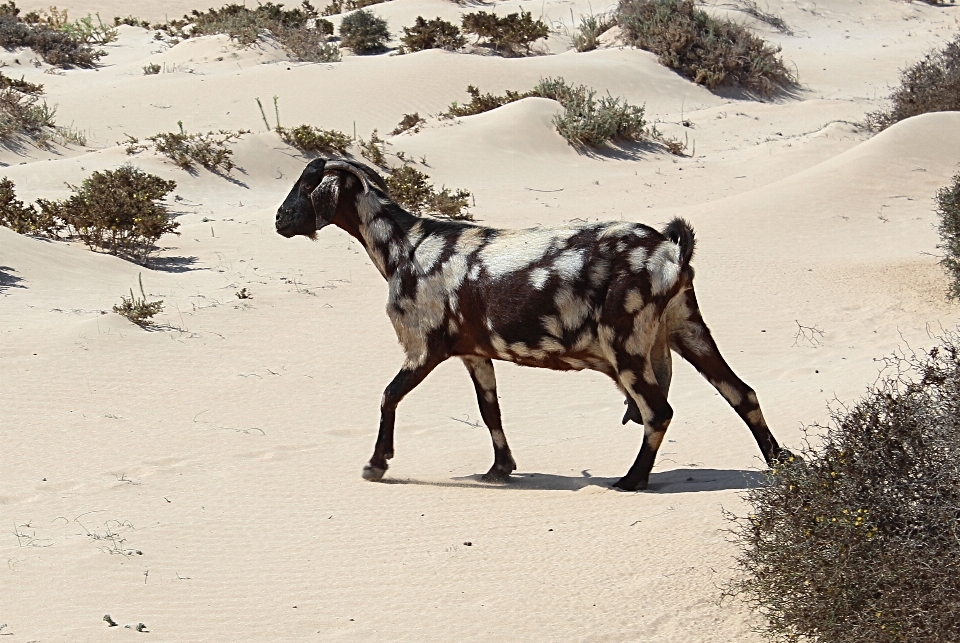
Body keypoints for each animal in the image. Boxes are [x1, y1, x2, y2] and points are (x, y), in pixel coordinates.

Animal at [278, 158, 788, 490]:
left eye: (306, 184)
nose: (280, 220)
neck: (406, 245)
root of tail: (671, 251)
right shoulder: (474, 352)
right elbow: (490, 411)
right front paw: (500, 468)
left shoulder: (425, 347)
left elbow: (388, 396)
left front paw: (377, 464)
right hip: (686, 327)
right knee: (741, 393)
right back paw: (781, 462)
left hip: (625, 341)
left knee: (658, 411)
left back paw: (632, 479)